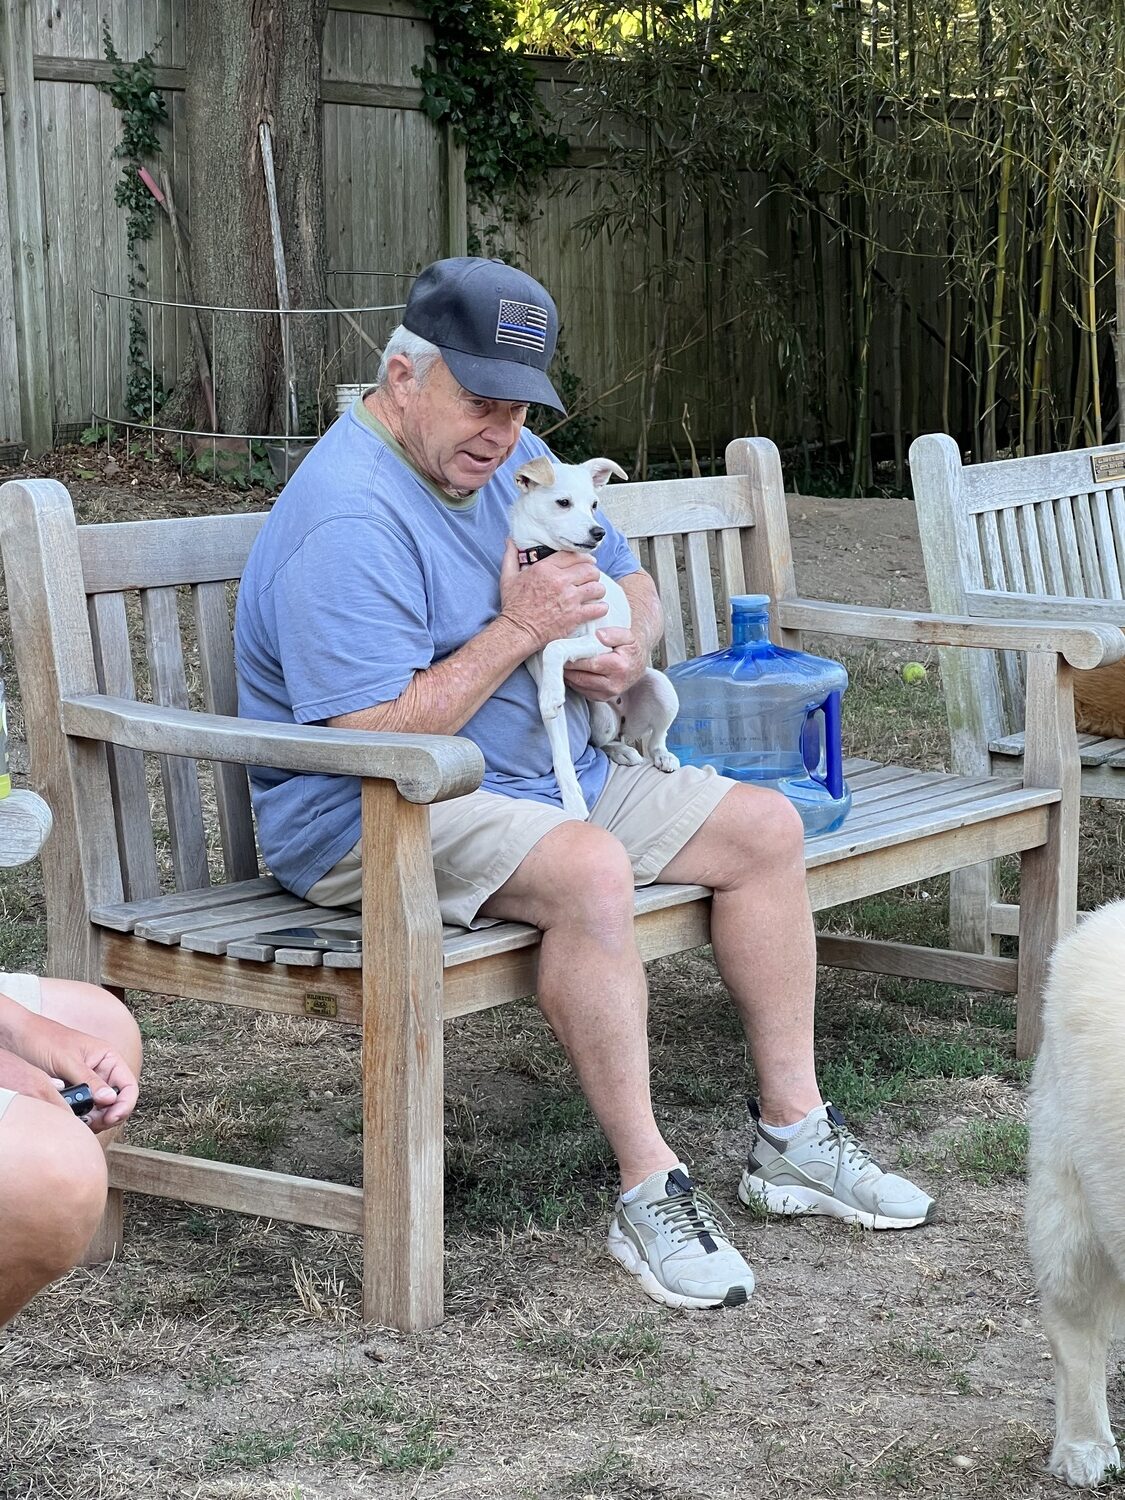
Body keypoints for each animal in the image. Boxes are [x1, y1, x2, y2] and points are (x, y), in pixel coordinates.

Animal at [510, 453, 678, 822]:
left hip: (662, 690)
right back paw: (622, 752)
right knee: (608, 742)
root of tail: (626, 721)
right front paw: (572, 801)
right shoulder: (538, 661)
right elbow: (559, 748)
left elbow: (558, 645)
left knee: (657, 738)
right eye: (563, 503)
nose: (599, 532)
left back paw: (663, 756)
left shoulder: (601, 641)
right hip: (602, 721)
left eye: (595, 505)